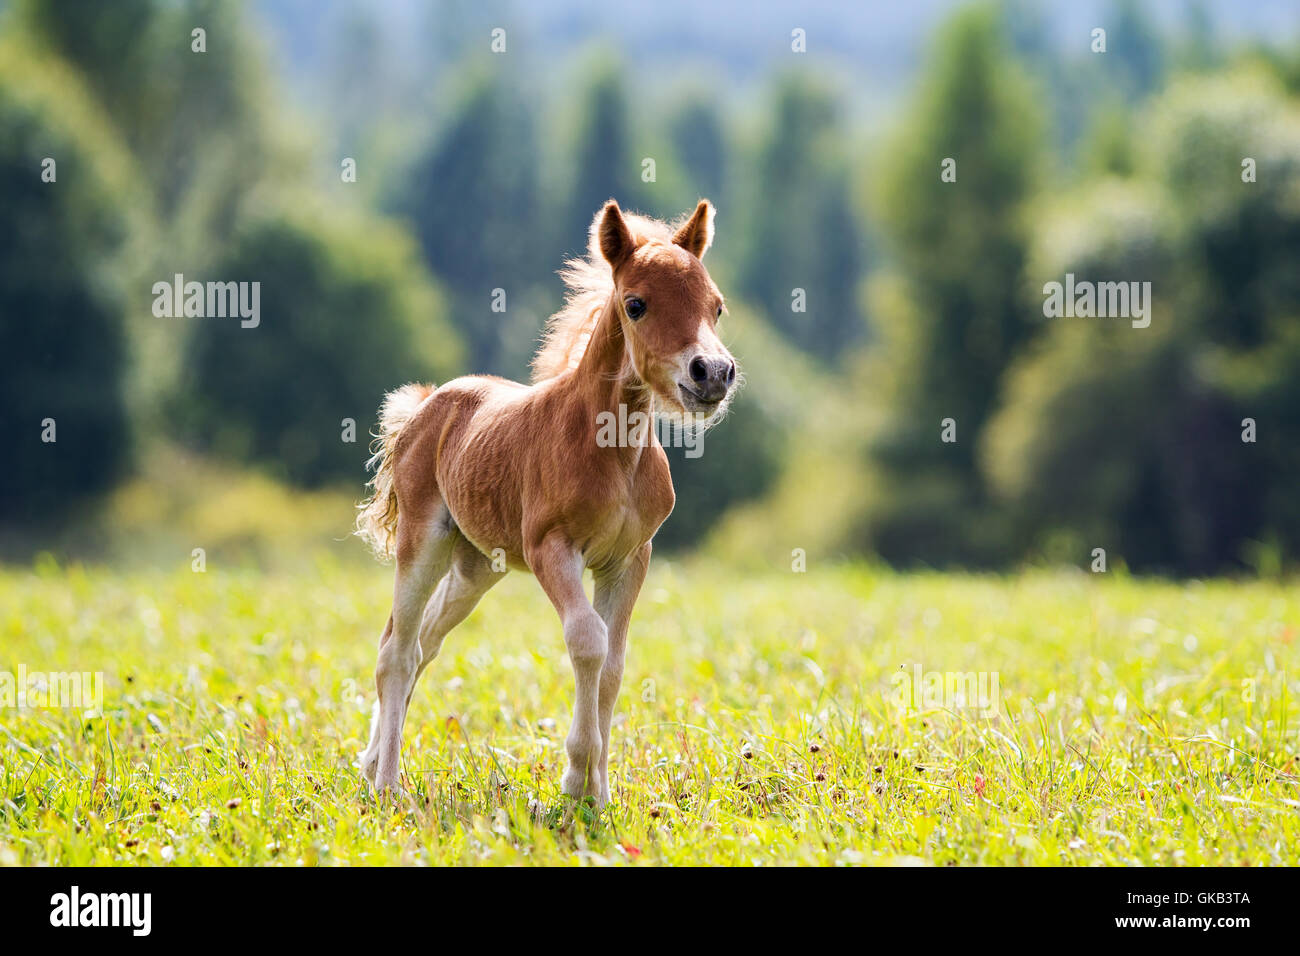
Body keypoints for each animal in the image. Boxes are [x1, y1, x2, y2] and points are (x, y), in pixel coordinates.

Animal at [356, 197, 743, 806]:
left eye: (717, 307)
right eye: (636, 305)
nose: (713, 374)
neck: (614, 450)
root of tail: (427, 403)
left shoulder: (630, 559)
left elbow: (614, 663)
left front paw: (598, 793)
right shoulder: (551, 548)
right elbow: (588, 642)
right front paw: (576, 778)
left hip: (476, 566)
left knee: (422, 642)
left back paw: (371, 763)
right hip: (424, 540)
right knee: (397, 650)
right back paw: (388, 785)